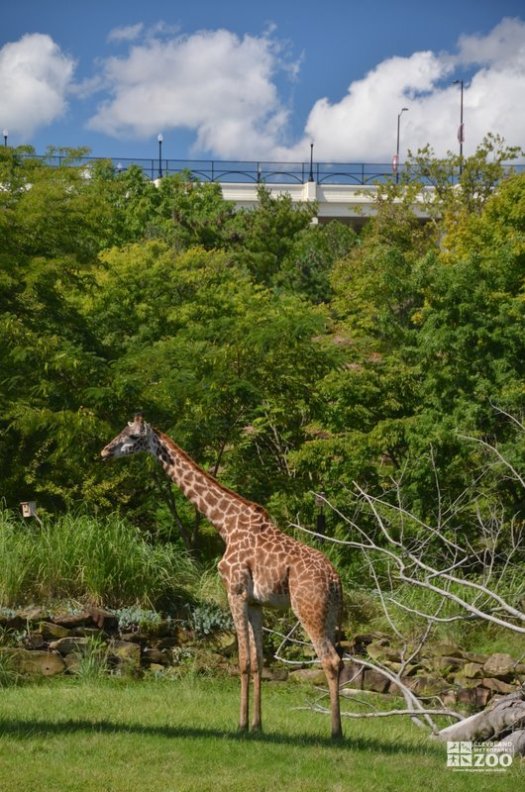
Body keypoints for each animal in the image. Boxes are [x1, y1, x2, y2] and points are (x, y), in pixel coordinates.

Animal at [101, 414, 344, 736]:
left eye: (132, 436)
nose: (104, 451)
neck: (225, 524)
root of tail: (335, 580)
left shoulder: (235, 591)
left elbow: (242, 661)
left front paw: (240, 725)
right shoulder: (255, 602)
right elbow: (258, 661)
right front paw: (257, 725)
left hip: (307, 609)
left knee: (330, 660)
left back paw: (336, 732)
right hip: (329, 613)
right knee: (339, 660)